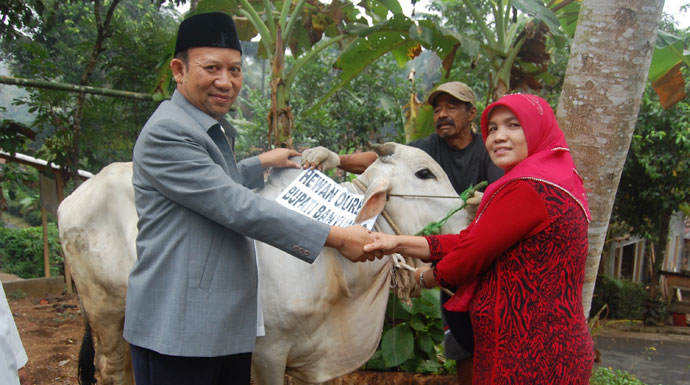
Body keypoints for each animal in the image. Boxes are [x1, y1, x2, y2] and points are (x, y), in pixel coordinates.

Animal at [57, 143, 468, 384]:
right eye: (424, 173)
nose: (468, 223)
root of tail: (73, 197)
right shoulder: (268, 355)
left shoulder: (315, 363)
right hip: (106, 314)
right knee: (110, 372)